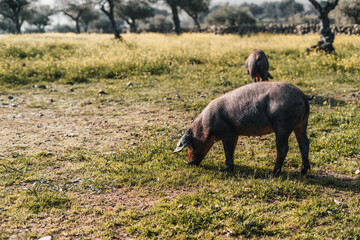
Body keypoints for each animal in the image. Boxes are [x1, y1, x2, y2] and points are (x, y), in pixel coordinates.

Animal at [174, 81, 312, 175]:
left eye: (190, 145)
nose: (189, 163)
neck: (206, 125)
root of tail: (303, 95)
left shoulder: (227, 132)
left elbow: (228, 150)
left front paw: (227, 170)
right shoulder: (235, 133)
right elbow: (232, 150)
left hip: (283, 124)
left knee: (283, 148)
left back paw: (273, 174)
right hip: (302, 123)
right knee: (304, 143)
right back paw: (303, 171)